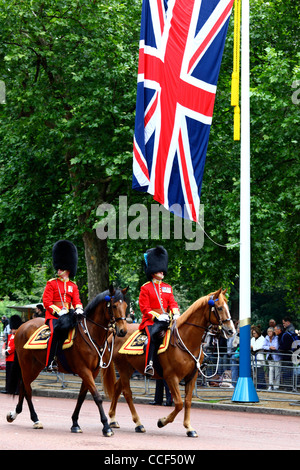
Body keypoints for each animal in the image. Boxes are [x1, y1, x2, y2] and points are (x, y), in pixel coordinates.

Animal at [5, 286, 127, 436]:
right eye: (114, 306)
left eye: (126, 305)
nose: (123, 331)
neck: (91, 334)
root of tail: (22, 327)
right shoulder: (84, 370)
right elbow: (97, 397)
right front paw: (106, 427)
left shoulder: (91, 372)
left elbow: (81, 397)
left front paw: (75, 423)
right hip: (27, 365)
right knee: (27, 389)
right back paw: (35, 419)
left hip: (36, 367)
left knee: (23, 385)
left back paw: (15, 414)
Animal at [102, 288, 236, 438]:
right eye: (219, 308)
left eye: (227, 307)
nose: (231, 330)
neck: (186, 340)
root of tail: (115, 333)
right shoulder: (171, 377)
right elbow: (178, 403)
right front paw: (162, 421)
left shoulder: (192, 376)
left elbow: (187, 401)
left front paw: (189, 427)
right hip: (123, 368)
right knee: (127, 393)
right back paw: (138, 423)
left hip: (130, 368)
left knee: (117, 388)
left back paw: (113, 419)